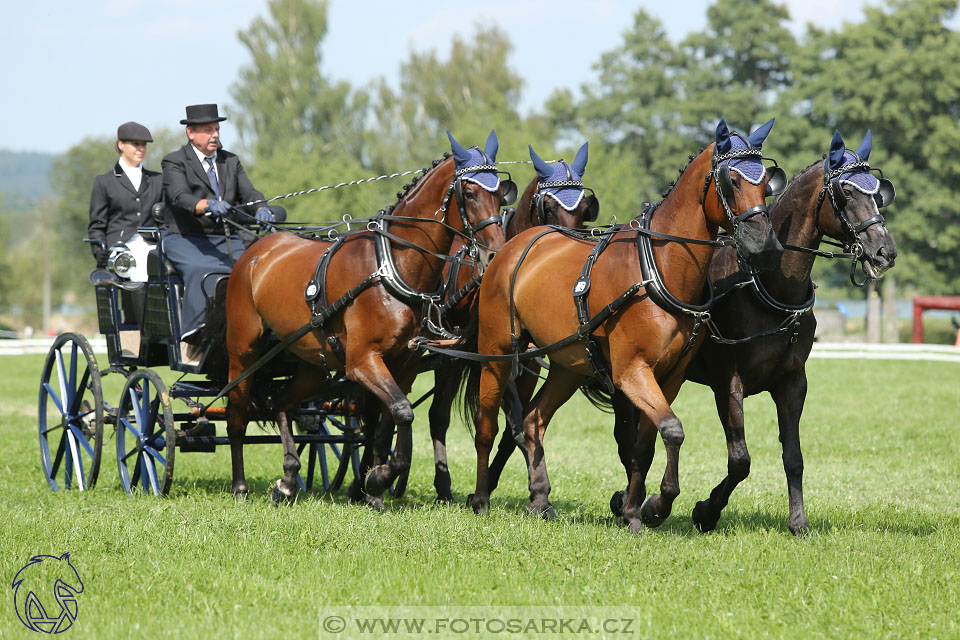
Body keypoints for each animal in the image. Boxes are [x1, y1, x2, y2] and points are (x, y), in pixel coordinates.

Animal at [210, 129, 510, 500]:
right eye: (469, 193)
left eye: (500, 193)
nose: (495, 253)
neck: (393, 267)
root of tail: (255, 250)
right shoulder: (362, 361)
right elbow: (402, 412)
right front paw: (378, 480)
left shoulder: (405, 365)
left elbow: (387, 422)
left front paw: (373, 486)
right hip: (243, 351)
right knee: (237, 414)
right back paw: (239, 485)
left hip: (312, 363)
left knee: (281, 404)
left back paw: (289, 479)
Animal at [424, 142, 596, 502]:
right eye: (549, 206)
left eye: (583, 209)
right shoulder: (495, 358)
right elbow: (516, 422)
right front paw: (535, 489)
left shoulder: (528, 367)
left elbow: (517, 427)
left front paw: (498, 483)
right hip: (448, 359)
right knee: (437, 415)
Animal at [464, 119, 788, 528]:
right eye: (731, 180)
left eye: (767, 182)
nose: (766, 246)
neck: (657, 268)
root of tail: (509, 248)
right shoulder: (631, 372)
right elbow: (672, 430)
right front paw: (657, 504)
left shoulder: (670, 377)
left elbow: (646, 444)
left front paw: (635, 511)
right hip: (496, 353)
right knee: (487, 424)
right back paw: (480, 498)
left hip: (569, 365)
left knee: (533, 420)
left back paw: (539, 499)